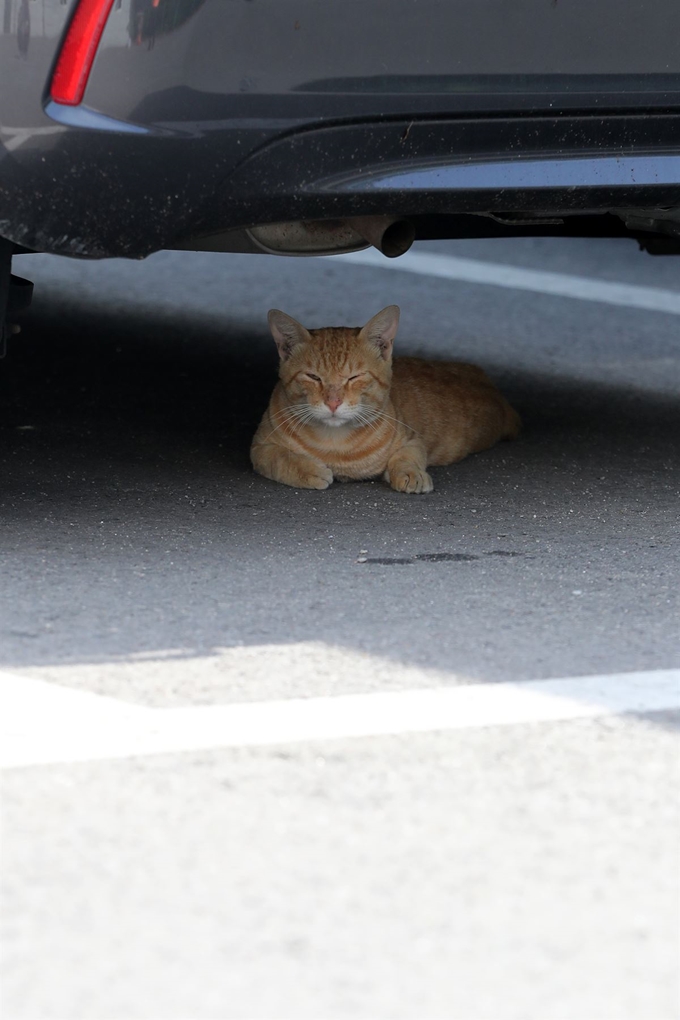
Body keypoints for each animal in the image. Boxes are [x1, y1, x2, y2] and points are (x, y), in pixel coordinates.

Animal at [251, 301, 521, 493]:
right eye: (313, 377)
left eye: (354, 377)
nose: (333, 402)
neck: (336, 445)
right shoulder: (259, 447)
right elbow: (280, 457)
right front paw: (308, 470)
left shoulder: (413, 440)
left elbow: (407, 457)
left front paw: (411, 474)